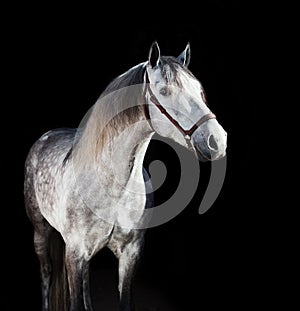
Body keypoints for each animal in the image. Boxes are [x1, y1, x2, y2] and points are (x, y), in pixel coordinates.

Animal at [24, 42, 226, 311]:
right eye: (164, 91)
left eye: (199, 90)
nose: (217, 141)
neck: (113, 185)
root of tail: (45, 137)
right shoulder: (75, 252)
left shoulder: (130, 253)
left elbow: (125, 300)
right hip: (41, 232)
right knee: (46, 273)